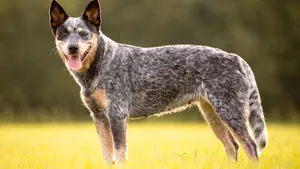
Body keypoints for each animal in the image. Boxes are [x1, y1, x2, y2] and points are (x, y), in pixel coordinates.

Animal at [48, 0, 268, 164]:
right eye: (64, 33)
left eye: (84, 33)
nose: (73, 48)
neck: (100, 65)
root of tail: (236, 58)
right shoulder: (99, 118)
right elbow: (107, 155)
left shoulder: (117, 115)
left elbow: (120, 155)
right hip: (213, 114)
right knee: (232, 147)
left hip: (230, 113)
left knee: (251, 147)